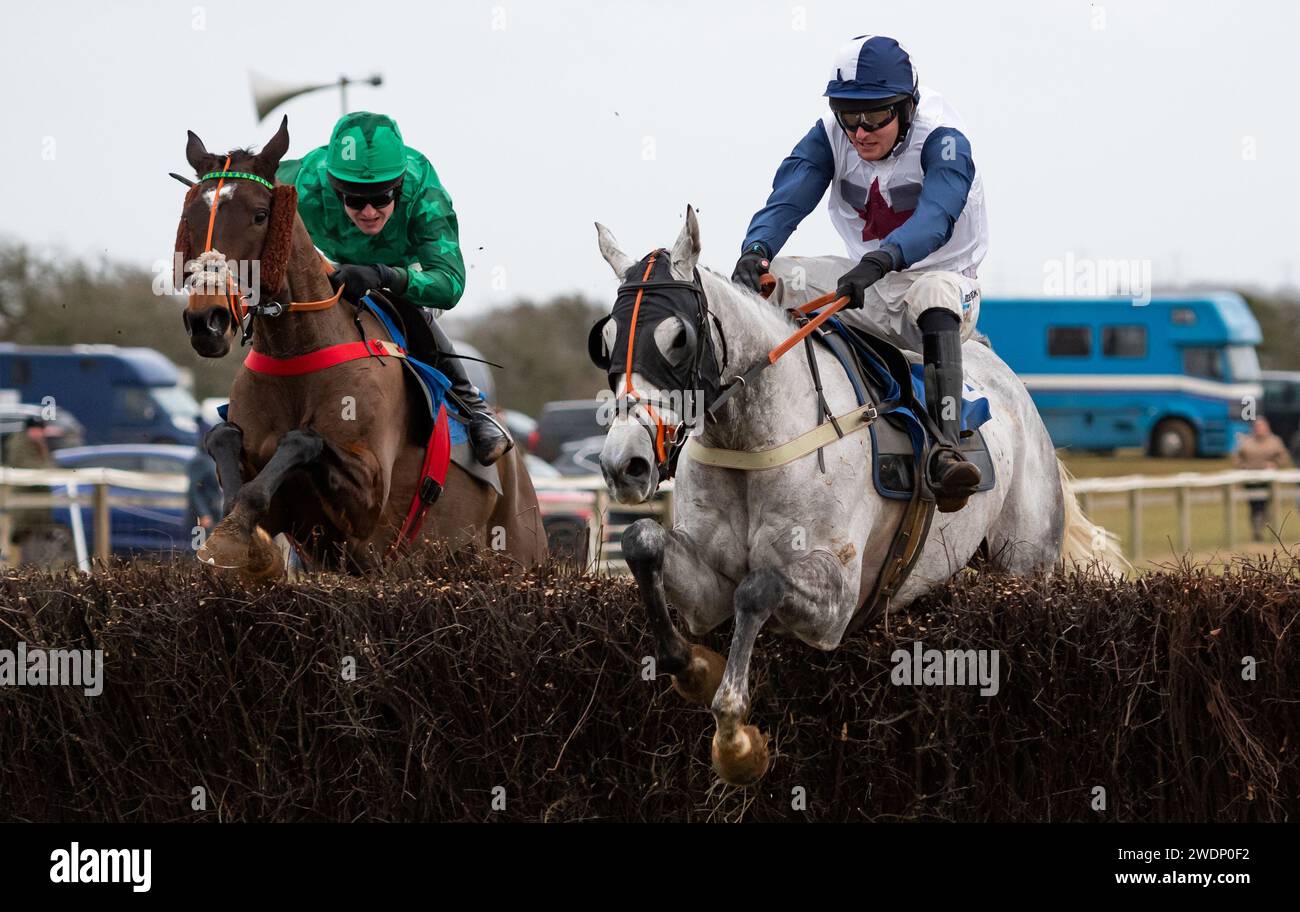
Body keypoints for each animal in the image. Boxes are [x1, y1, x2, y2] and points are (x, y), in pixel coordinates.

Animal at [172, 118, 543, 574]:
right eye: (189, 217)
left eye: (260, 215)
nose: (207, 321)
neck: (298, 352)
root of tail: (520, 474)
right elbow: (224, 446)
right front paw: (231, 536)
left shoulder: (369, 500)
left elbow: (302, 440)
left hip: (517, 552)